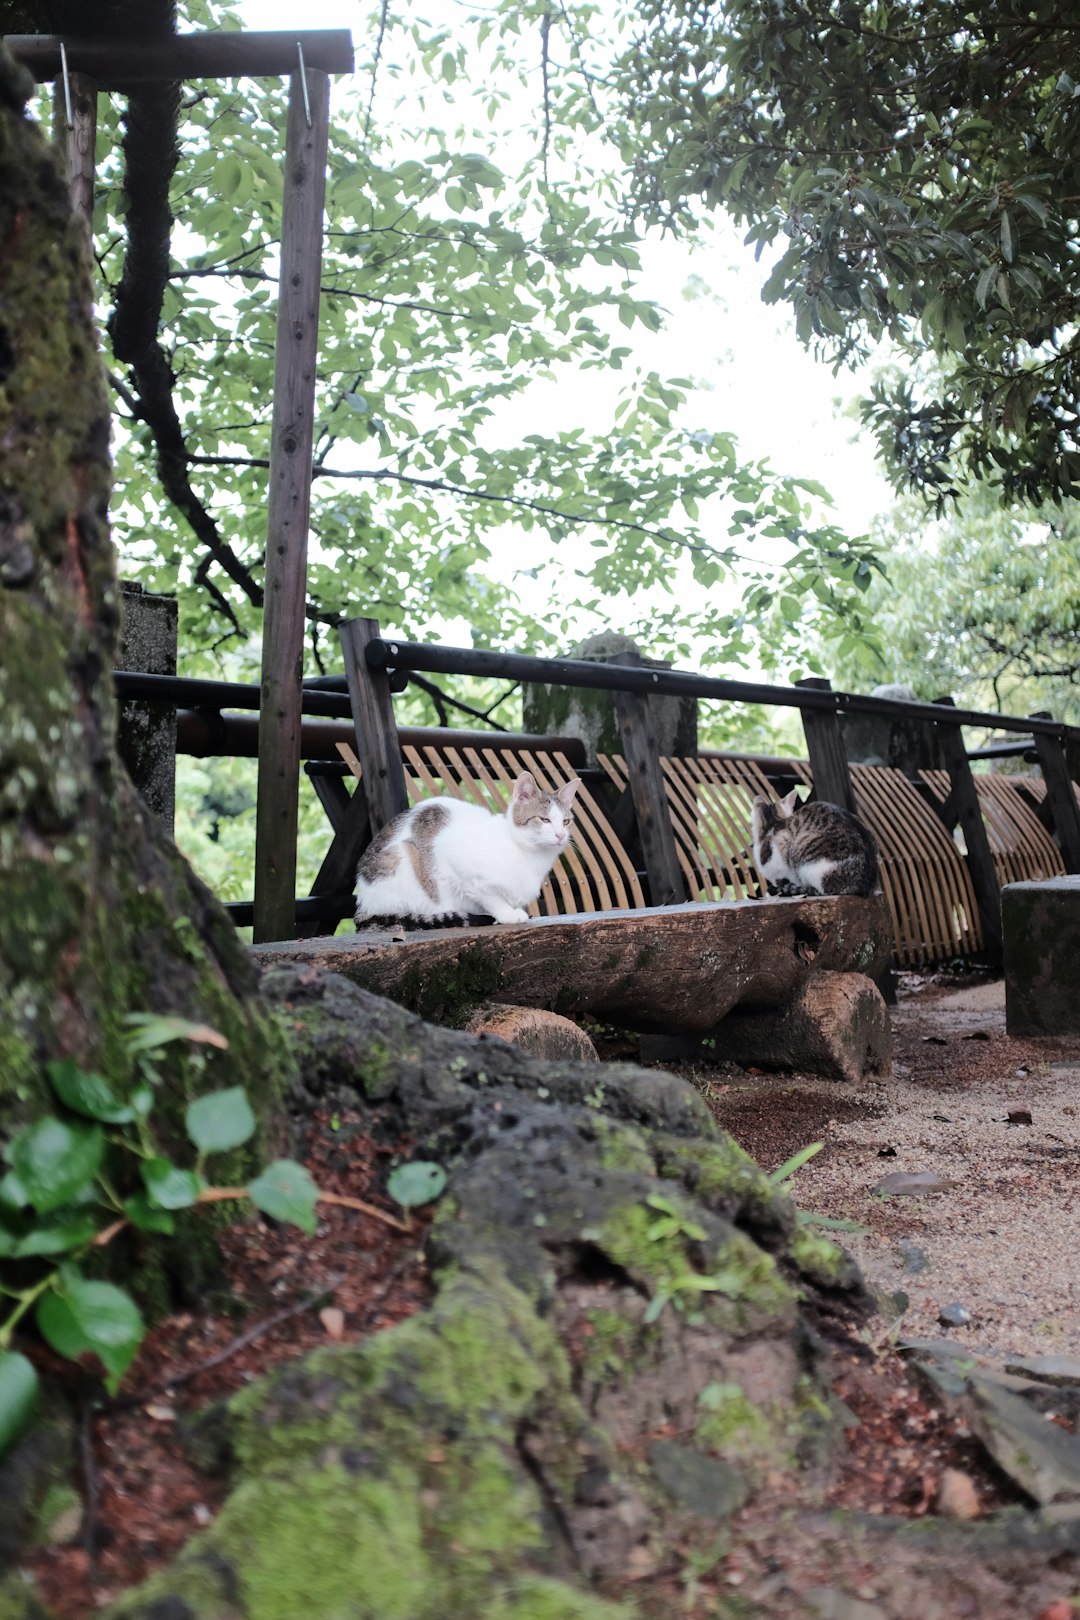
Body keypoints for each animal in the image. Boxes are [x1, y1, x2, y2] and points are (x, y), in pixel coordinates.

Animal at [354, 767, 579, 926]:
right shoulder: (453, 858)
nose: (560, 835)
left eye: (566, 821)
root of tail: (364, 901)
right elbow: (489, 896)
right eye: (544, 819)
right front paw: (507, 914)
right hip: (400, 858)